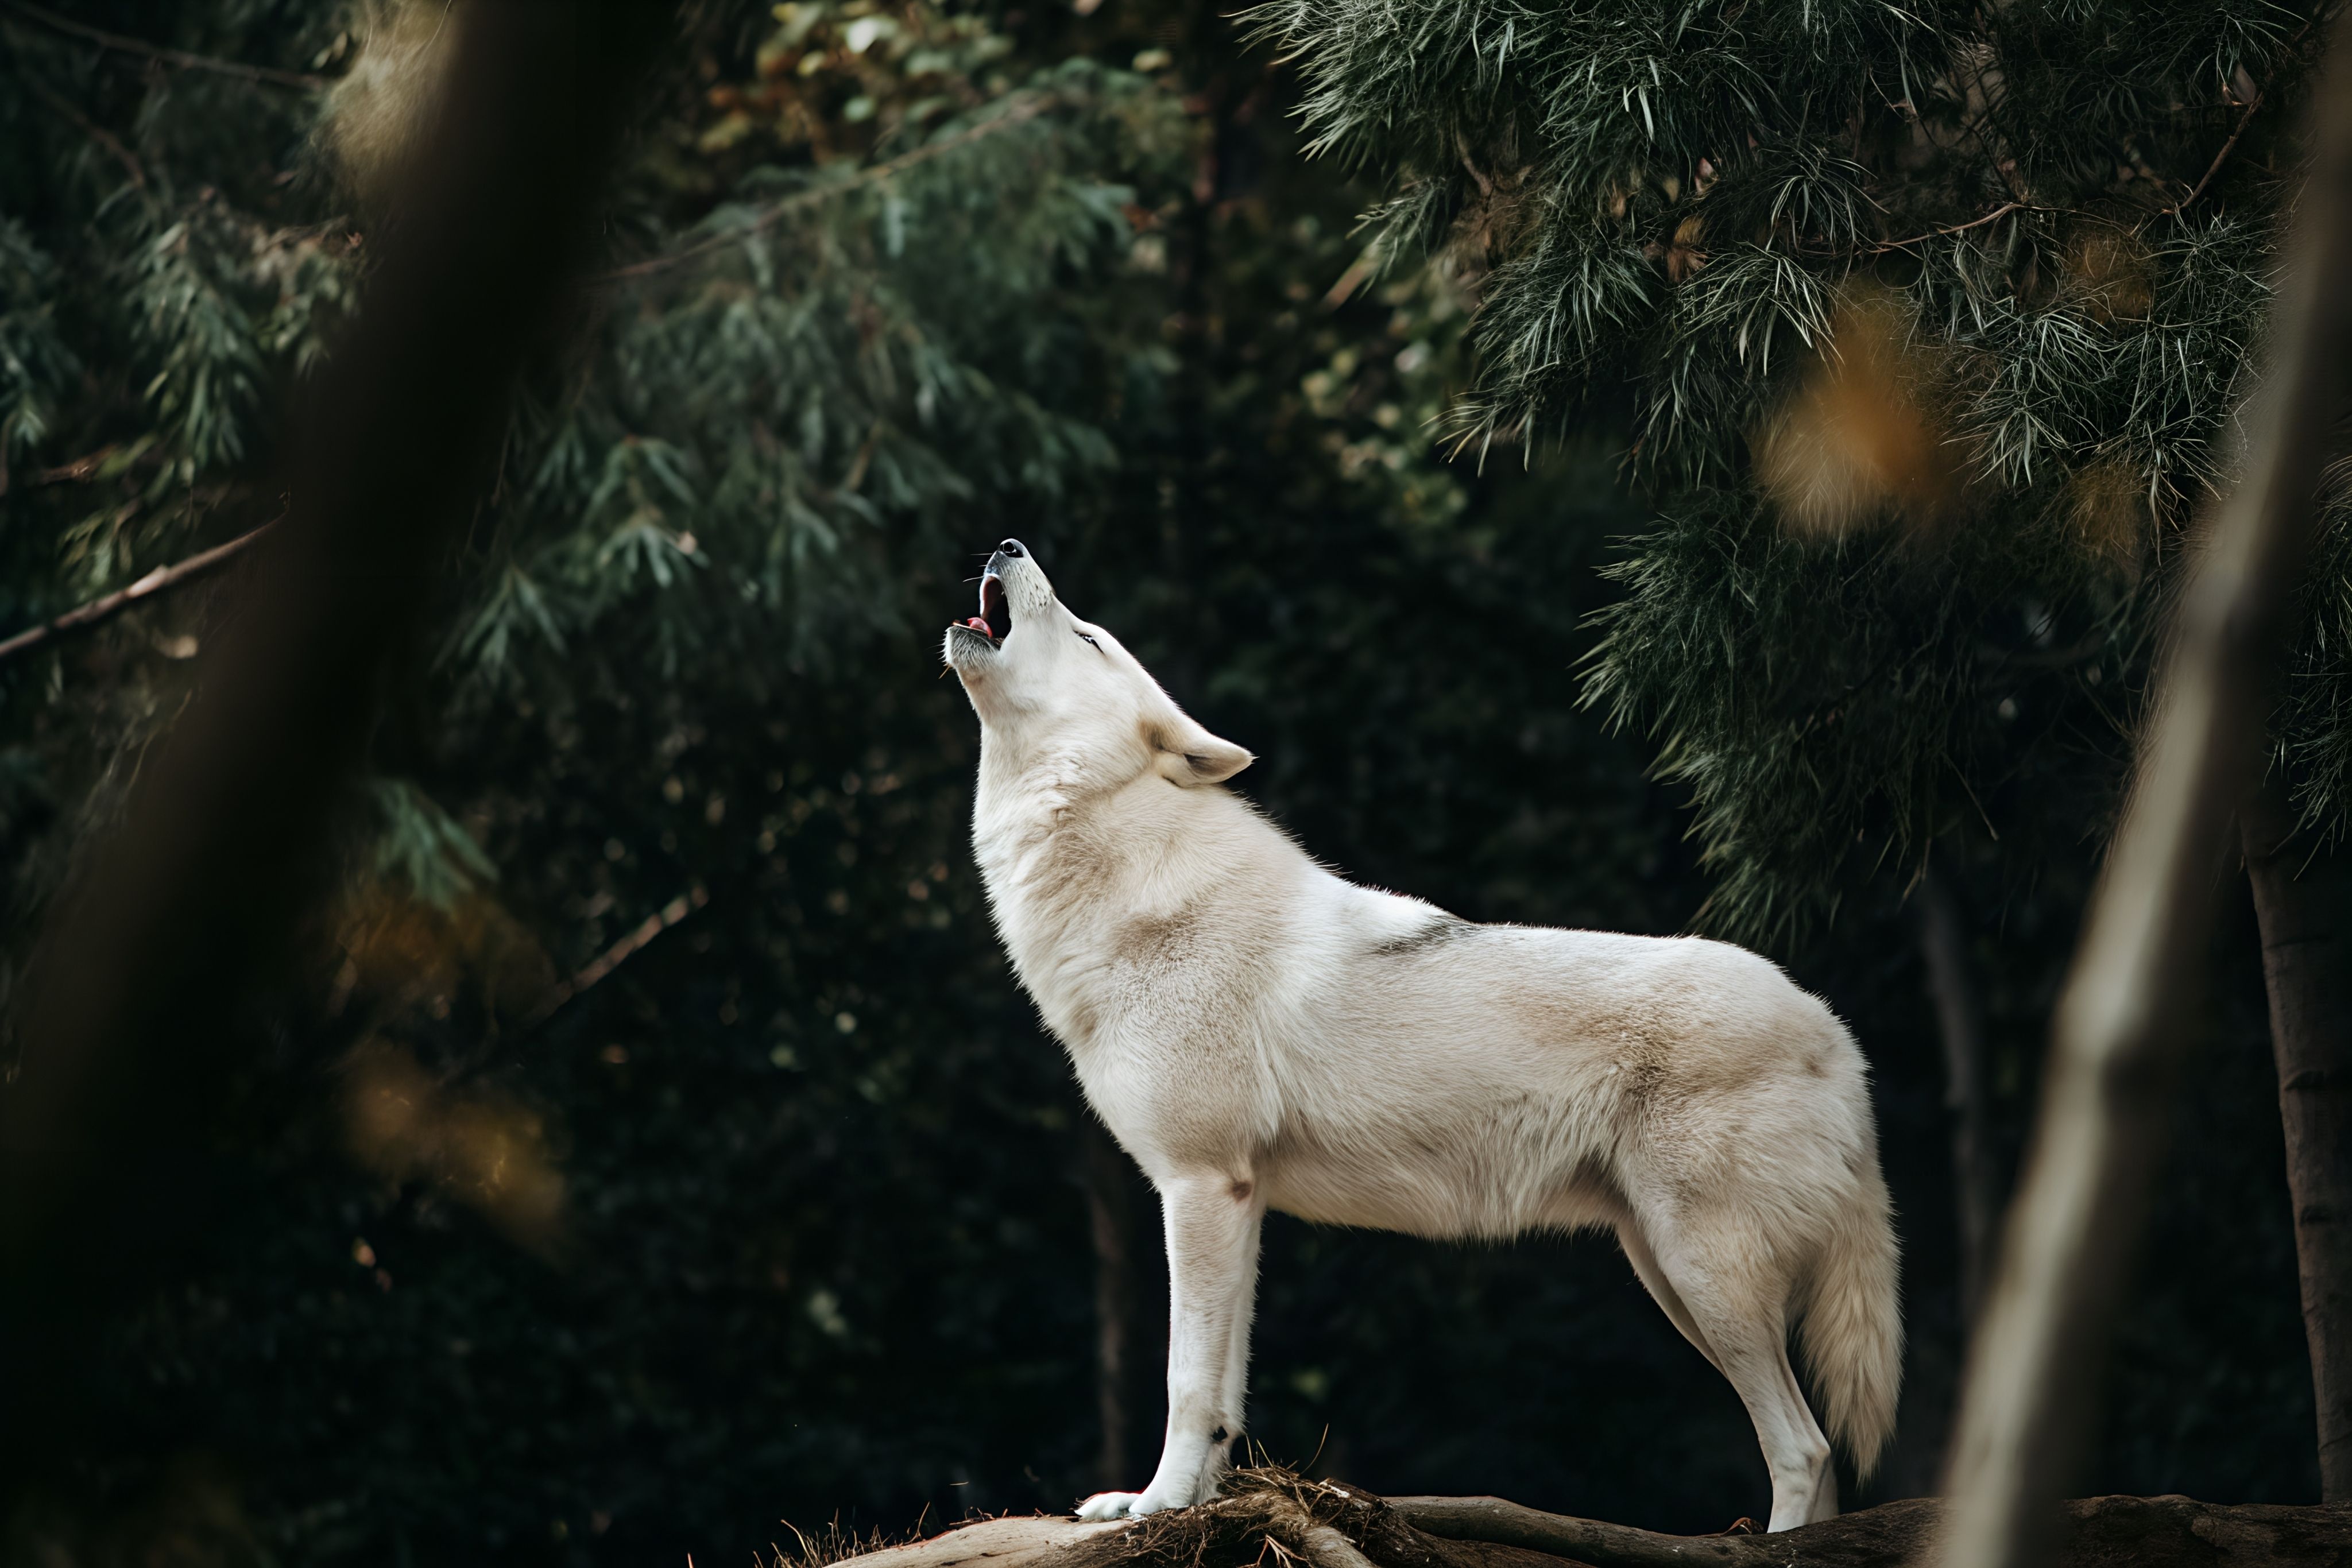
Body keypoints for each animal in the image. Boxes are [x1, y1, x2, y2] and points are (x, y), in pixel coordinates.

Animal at [942, 540, 1901, 1533]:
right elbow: (1226, 1393)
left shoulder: (1200, 1185)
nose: (1008, 545)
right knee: (1820, 1455)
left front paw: (1157, 1505)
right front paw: (1196, 1501)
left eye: (1088, 635)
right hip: (1667, 1272)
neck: (1124, 879)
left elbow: (1185, 1381)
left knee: (1804, 1445)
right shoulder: (1240, 1201)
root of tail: (1838, 1035)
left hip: (1704, 1275)